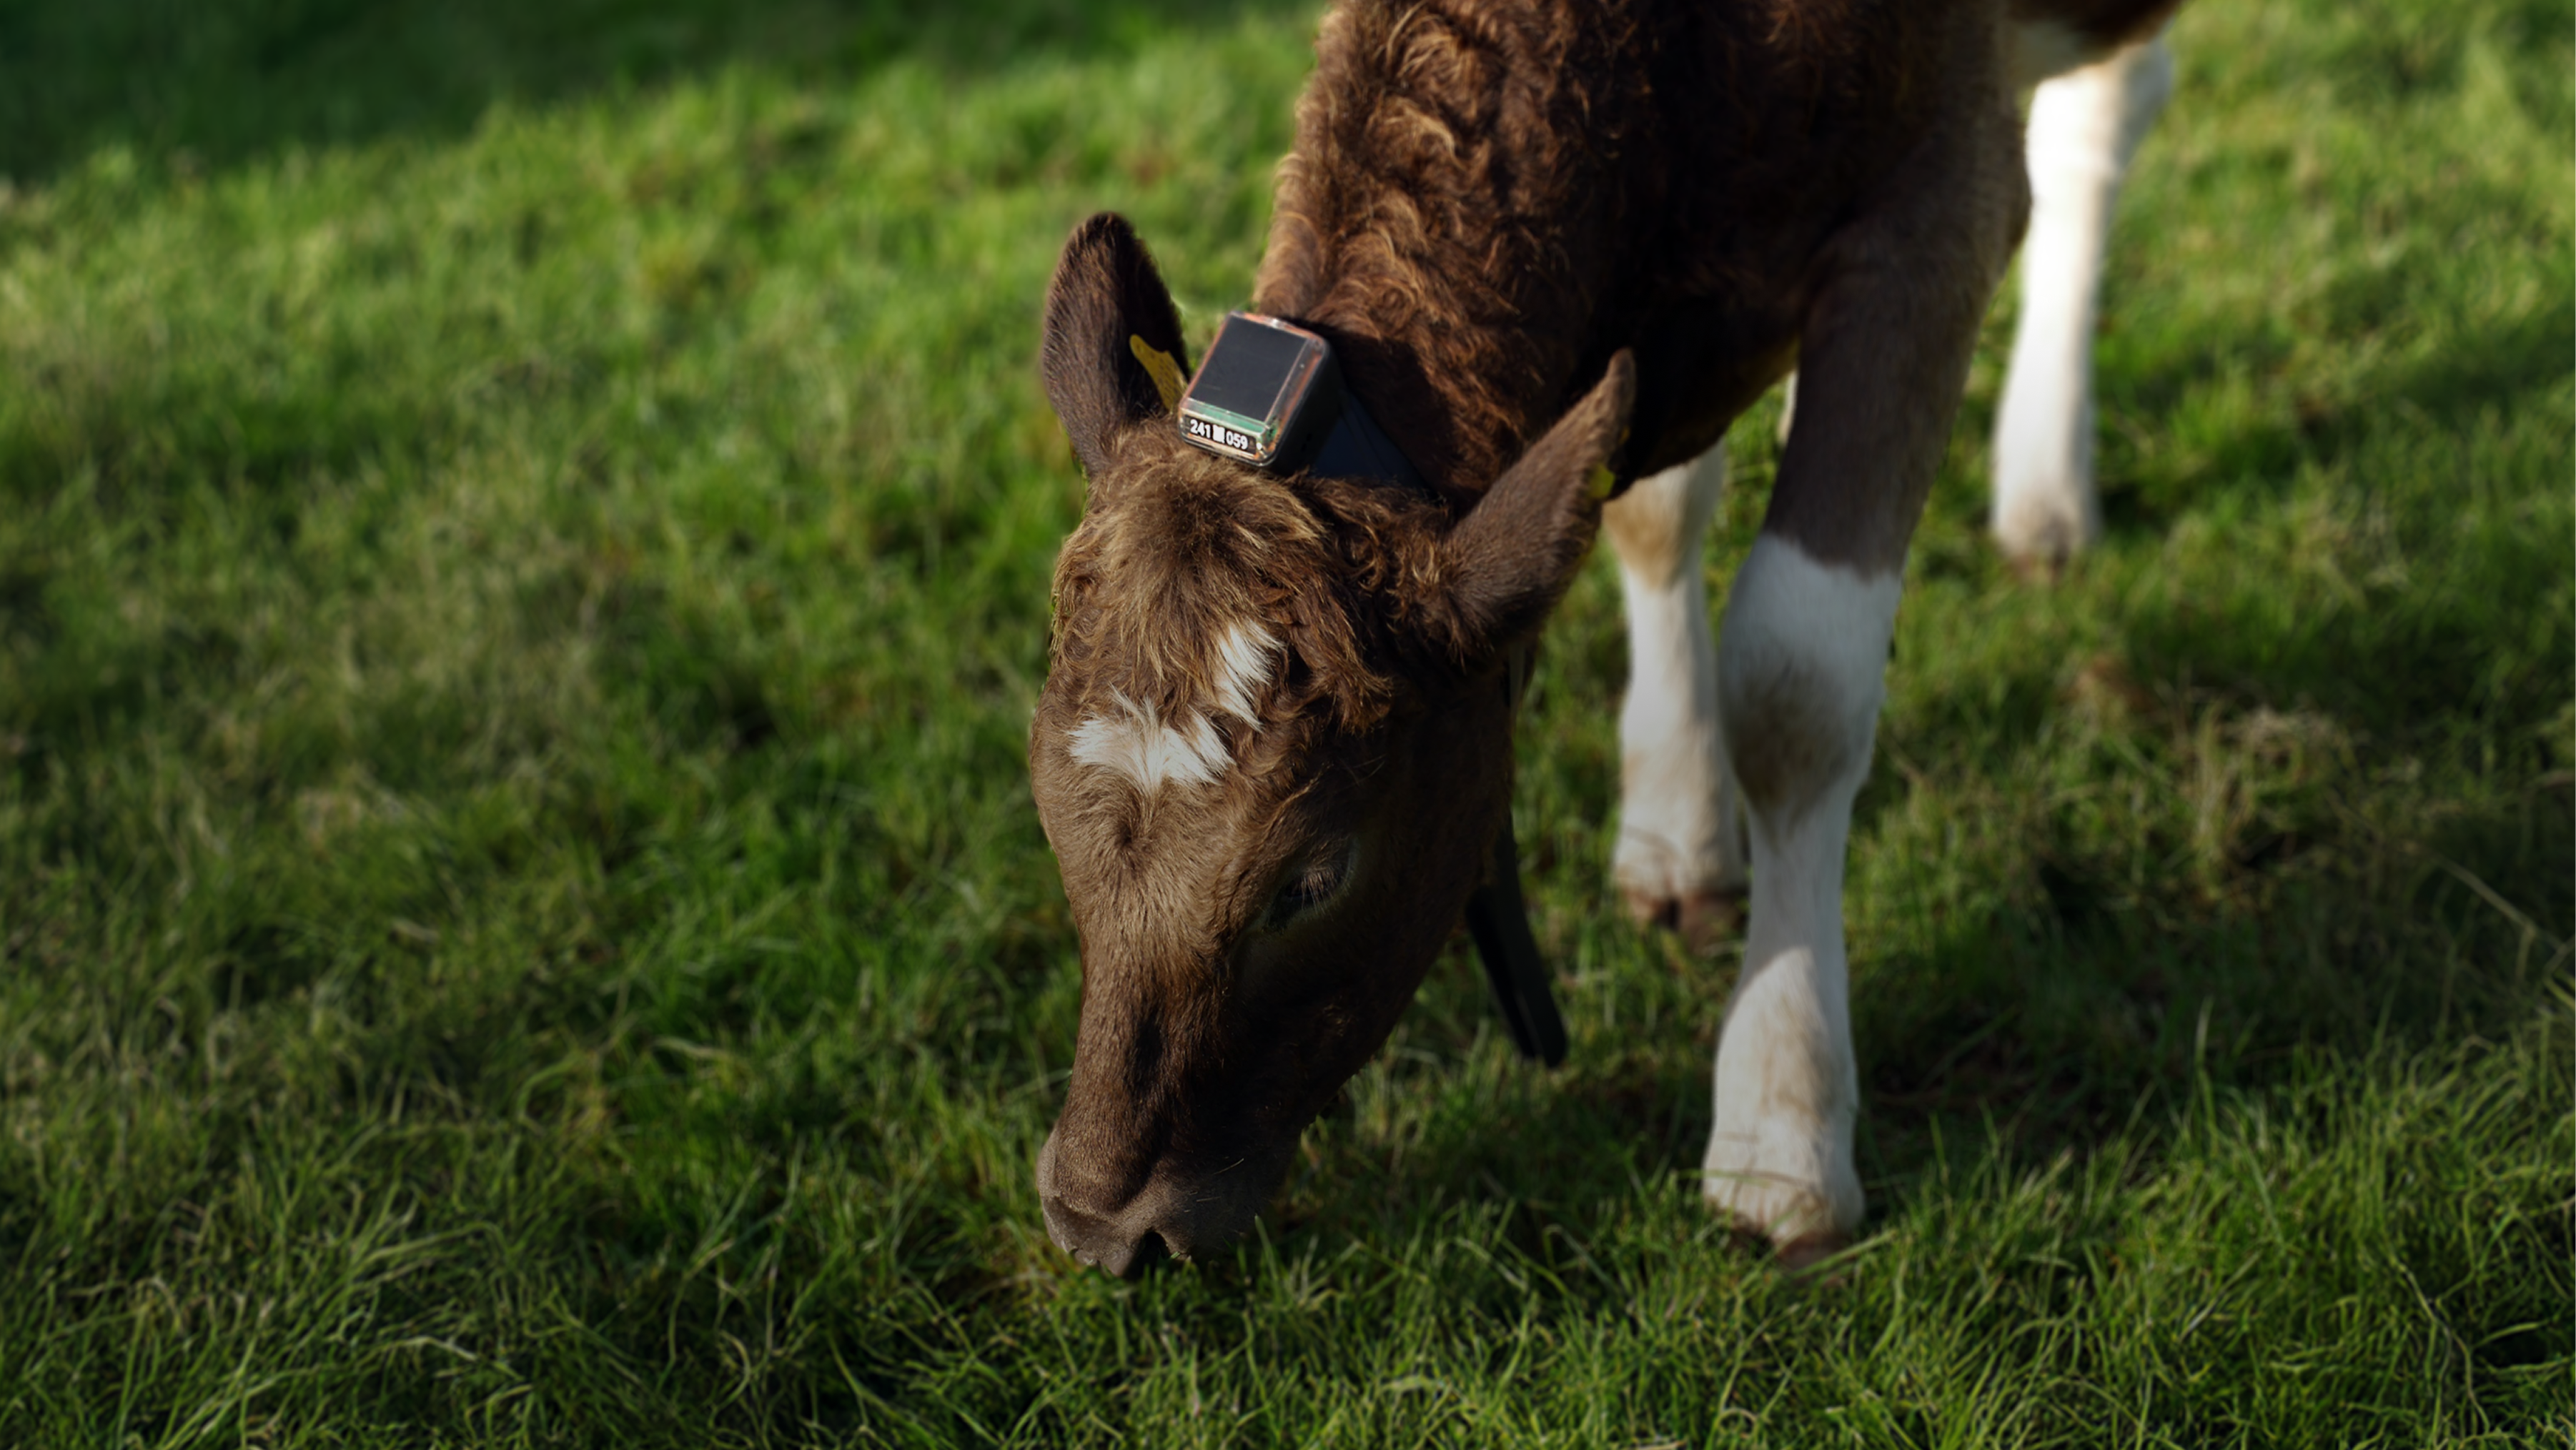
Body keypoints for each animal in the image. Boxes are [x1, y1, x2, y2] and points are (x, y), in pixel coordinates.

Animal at [1025, 0, 2174, 1277]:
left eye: (1310, 877)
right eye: (1046, 813)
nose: (1097, 1221)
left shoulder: (1937, 201)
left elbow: (1800, 683)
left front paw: (1780, 1131)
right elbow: (1654, 519)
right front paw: (1677, 831)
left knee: (2105, 120)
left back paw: (2047, 489)